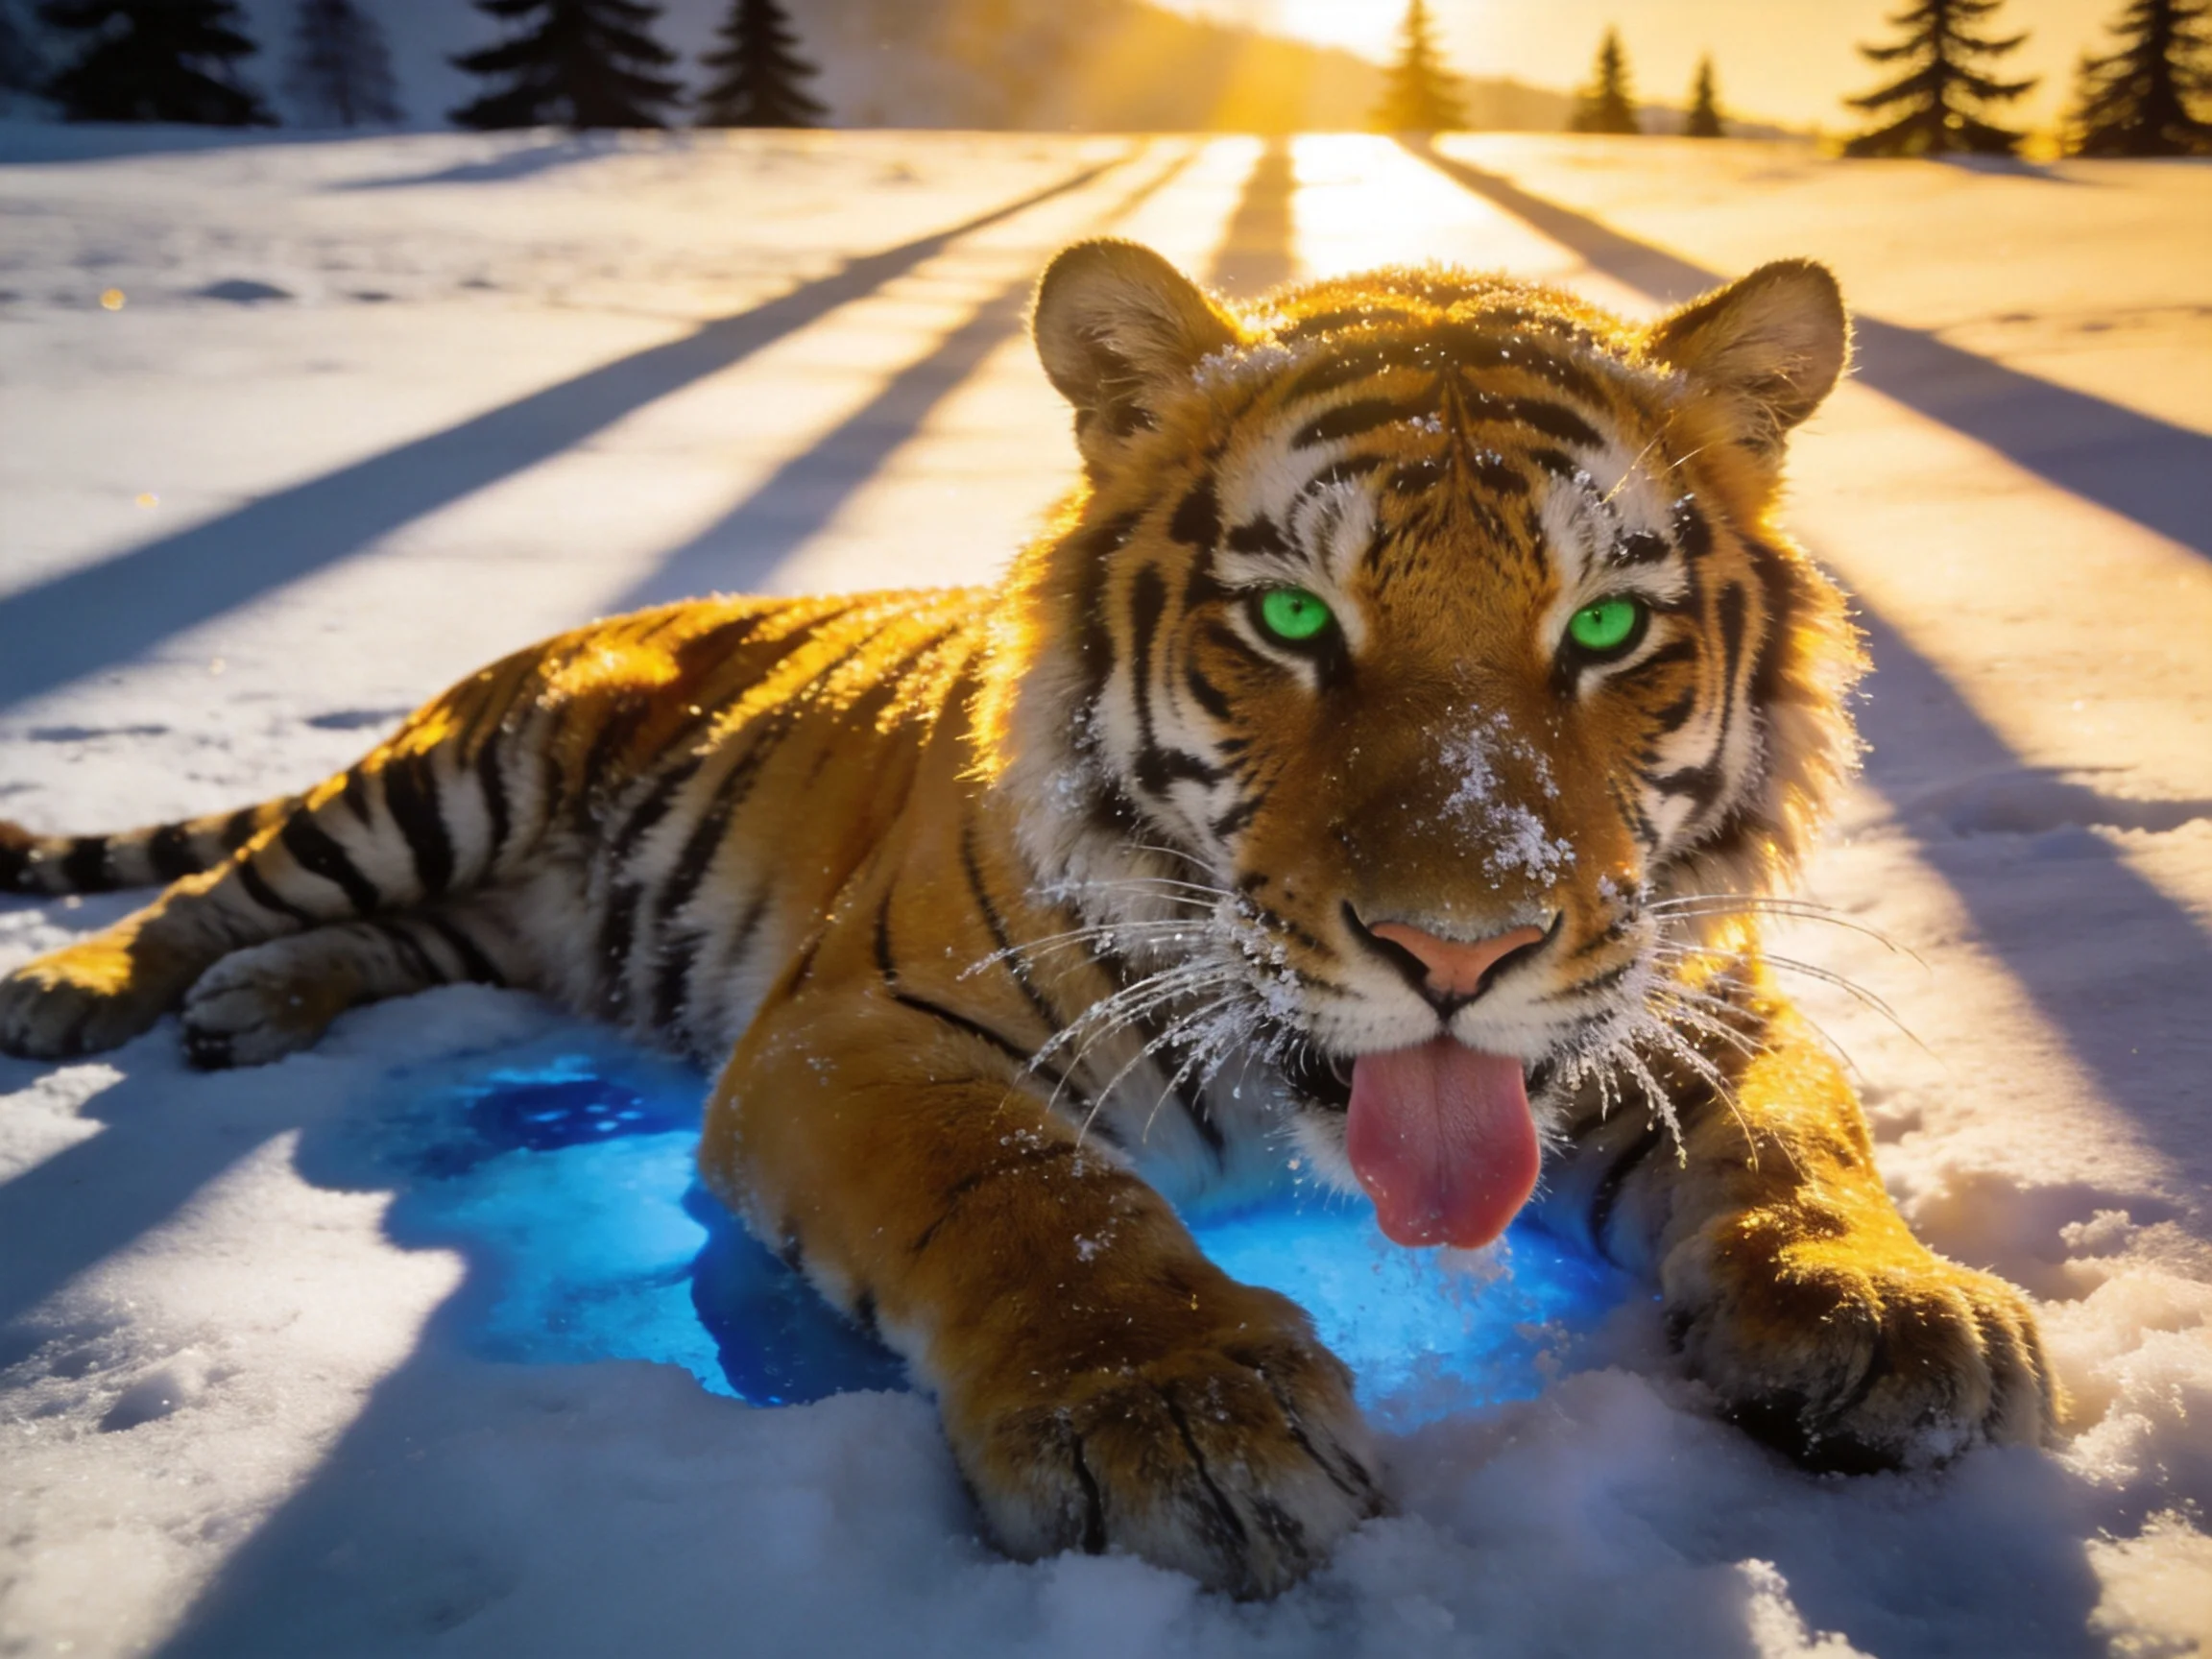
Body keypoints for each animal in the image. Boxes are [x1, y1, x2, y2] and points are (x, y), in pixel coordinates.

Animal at [0, 237, 2057, 1597]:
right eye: (1289, 619)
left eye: (1609, 627)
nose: (1456, 952)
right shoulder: (855, 1032)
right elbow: (1031, 1195)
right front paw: (1175, 1417)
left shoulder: (1693, 1001)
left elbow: (1796, 1138)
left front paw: (1886, 1306)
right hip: (443, 780)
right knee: (211, 884)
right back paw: (86, 991)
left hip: (501, 910)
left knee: (375, 941)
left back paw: (257, 1010)